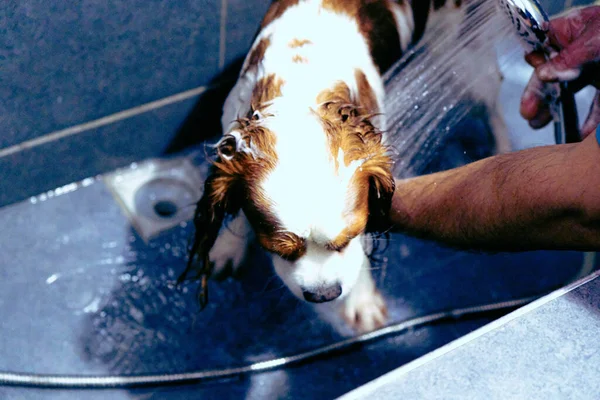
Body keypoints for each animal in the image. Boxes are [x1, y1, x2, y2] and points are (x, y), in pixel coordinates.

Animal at [184, 0, 506, 332]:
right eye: (280, 249)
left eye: (348, 238)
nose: (324, 295)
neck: (301, 90)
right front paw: (227, 245)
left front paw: (361, 301)